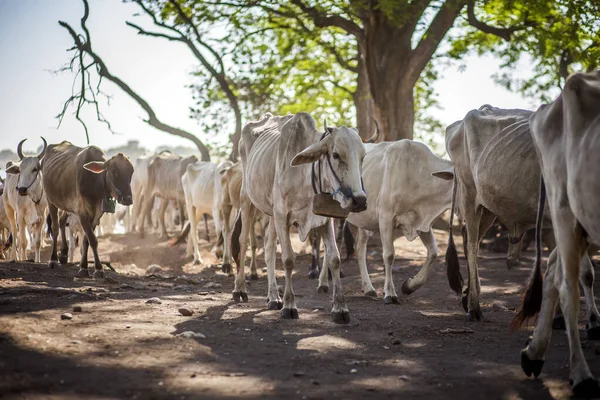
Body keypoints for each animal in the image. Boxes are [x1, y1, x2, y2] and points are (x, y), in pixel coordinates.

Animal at [42, 141, 134, 278]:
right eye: (114, 172)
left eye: (131, 172)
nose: (128, 199)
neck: (95, 182)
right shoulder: (82, 213)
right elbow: (93, 240)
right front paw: (98, 269)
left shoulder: (96, 215)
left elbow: (86, 240)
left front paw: (84, 267)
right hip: (51, 201)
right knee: (55, 228)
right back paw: (53, 260)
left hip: (66, 205)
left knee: (62, 221)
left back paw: (63, 254)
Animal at [232, 111, 368, 322]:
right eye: (336, 155)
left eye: (362, 157)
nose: (359, 200)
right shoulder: (283, 216)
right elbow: (288, 259)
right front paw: (289, 306)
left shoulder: (324, 219)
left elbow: (334, 258)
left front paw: (340, 308)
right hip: (248, 201)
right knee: (243, 241)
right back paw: (240, 289)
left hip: (272, 215)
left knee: (269, 249)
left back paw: (273, 297)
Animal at [344, 140, 452, 304]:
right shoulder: (385, 218)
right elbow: (389, 255)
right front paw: (390, 293)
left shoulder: (423, 223)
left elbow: (433, 252)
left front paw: (409, 286)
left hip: (363, 222)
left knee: (360, 248)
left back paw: (368, 289)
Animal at [434, 104, 596, 326]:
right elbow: (584, 272)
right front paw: (592, 320)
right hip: (470, 197)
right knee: (472, 245)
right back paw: (474, 307)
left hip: (488, 208)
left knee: (471, 240)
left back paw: (469, 299)